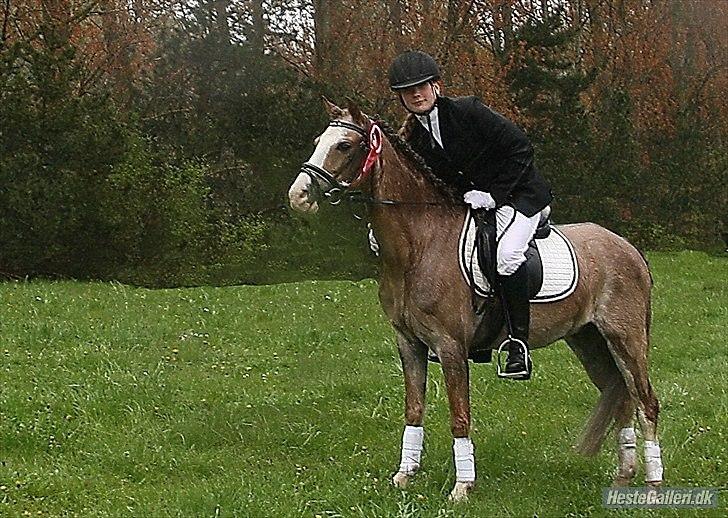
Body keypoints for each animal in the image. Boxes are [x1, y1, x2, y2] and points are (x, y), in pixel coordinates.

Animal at [287, 99, 664, 501]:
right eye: (317, 141)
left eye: (344, 145)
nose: (298, 196)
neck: (419, 244)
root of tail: (629, 249)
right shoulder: (409, 343)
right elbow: (414, 409)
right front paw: (405, 476)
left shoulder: (451, 346)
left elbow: (459, 415)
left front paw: (462, 486)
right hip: (589, 340)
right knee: (621, 396)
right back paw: (622, 482)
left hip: (625, 338)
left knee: (646, 403)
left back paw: (653, 489)